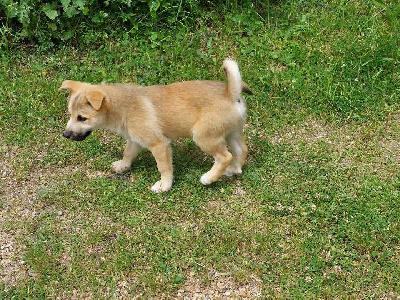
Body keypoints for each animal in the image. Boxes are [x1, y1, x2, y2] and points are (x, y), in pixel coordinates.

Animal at [59, 59, 252, 192]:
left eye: (82, 118)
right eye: (71, 114)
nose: (65, 135)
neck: (124, 107)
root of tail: (230, 93)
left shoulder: (159, 145)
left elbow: (164, 167)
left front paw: (164, 186)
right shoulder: (135, 140)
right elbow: (128, 153)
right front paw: (123, 165)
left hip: (204, 137)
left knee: (225, 156)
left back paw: (209, 178)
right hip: (231, 133)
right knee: (241, 150)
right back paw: (234, 170)